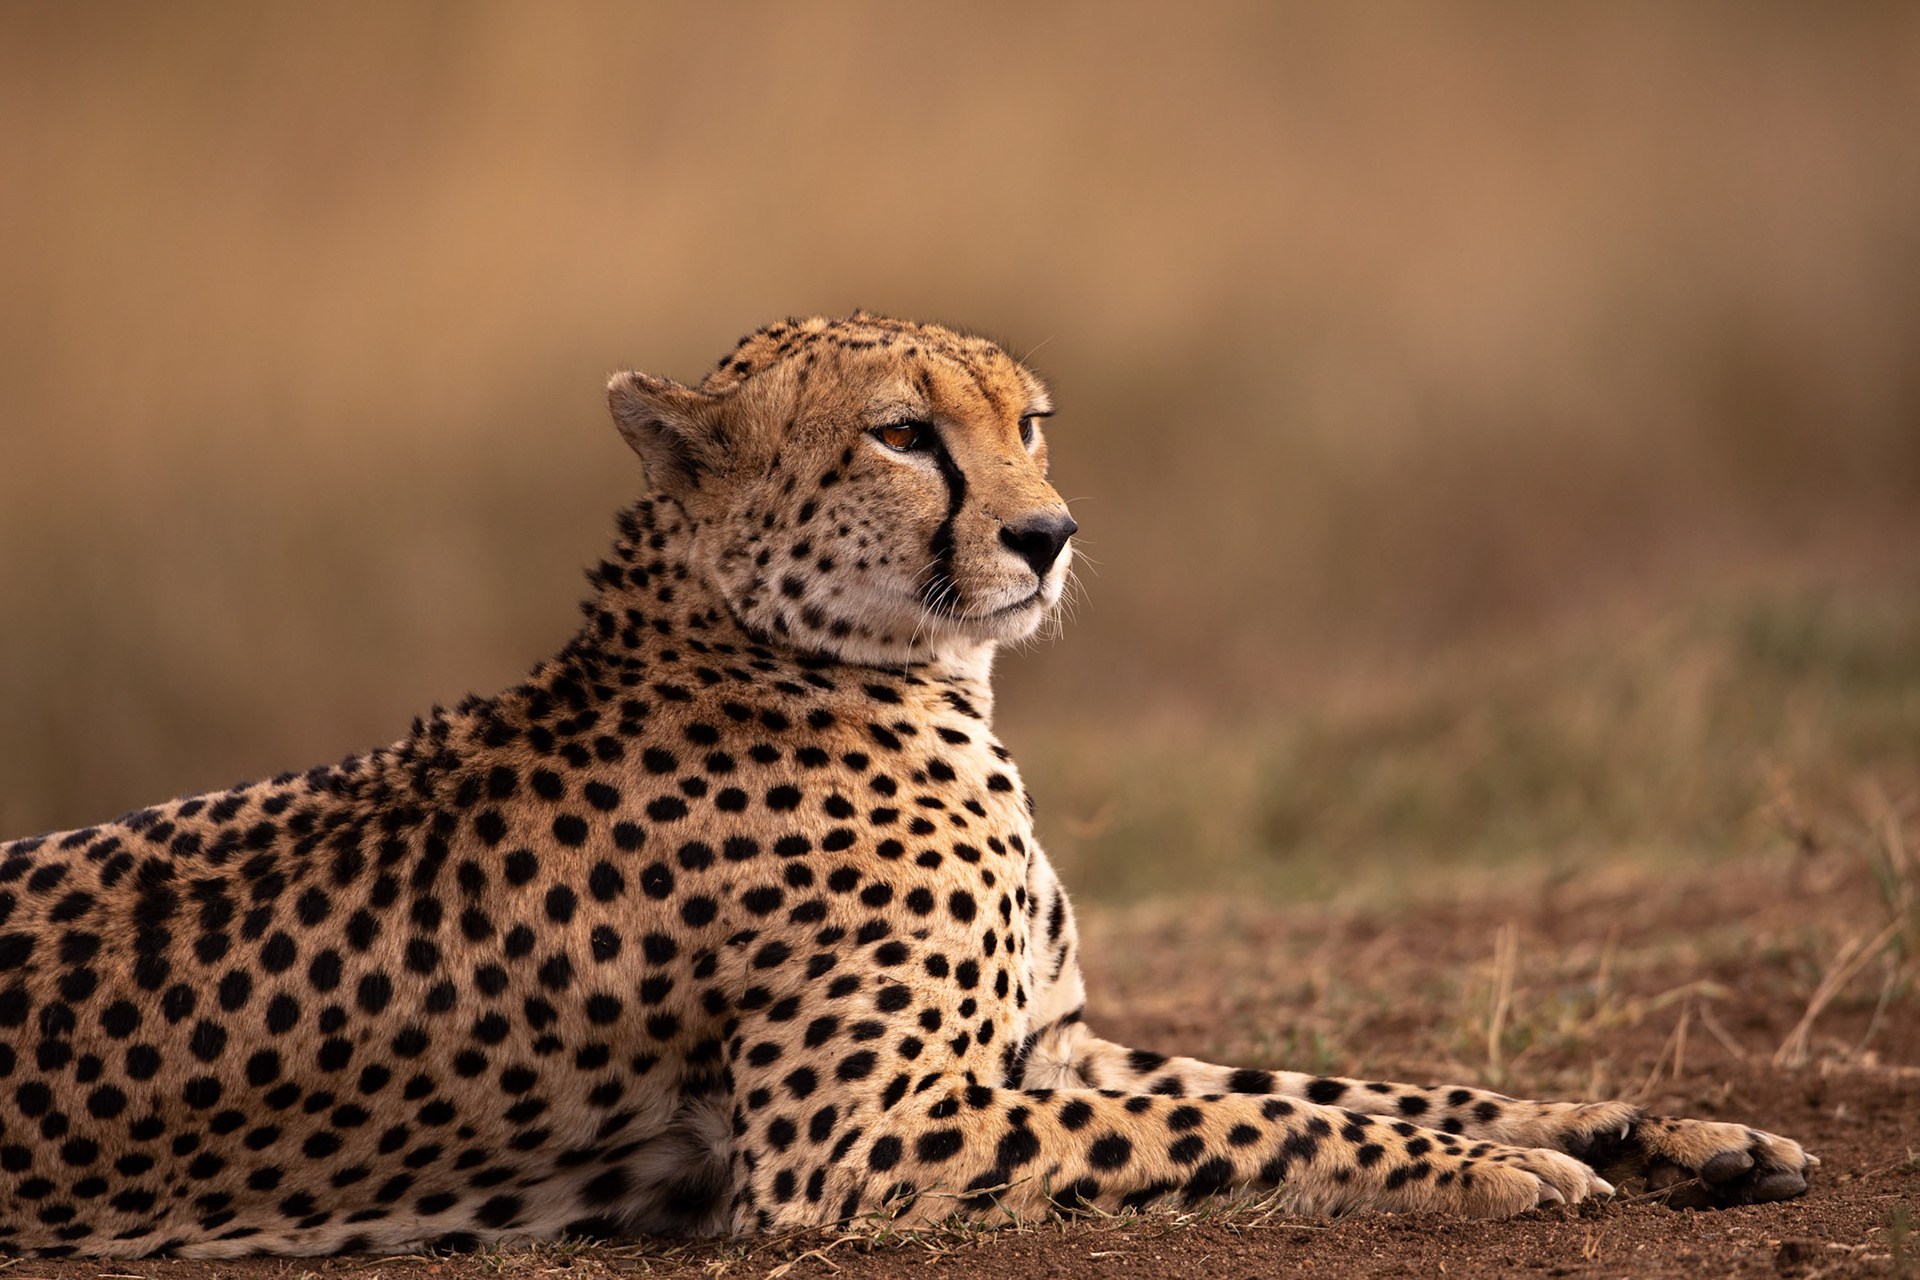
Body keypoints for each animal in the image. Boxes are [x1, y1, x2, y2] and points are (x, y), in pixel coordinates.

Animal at [0, 313, 1813, 1258]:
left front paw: (1645, 1124)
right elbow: (1254, 1117)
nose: (1048, 533)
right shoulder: (854, 1142)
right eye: (901, 435)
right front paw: (1497, 1177)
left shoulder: (1042, 1049)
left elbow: (1345, 1080)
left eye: (1032, 421)